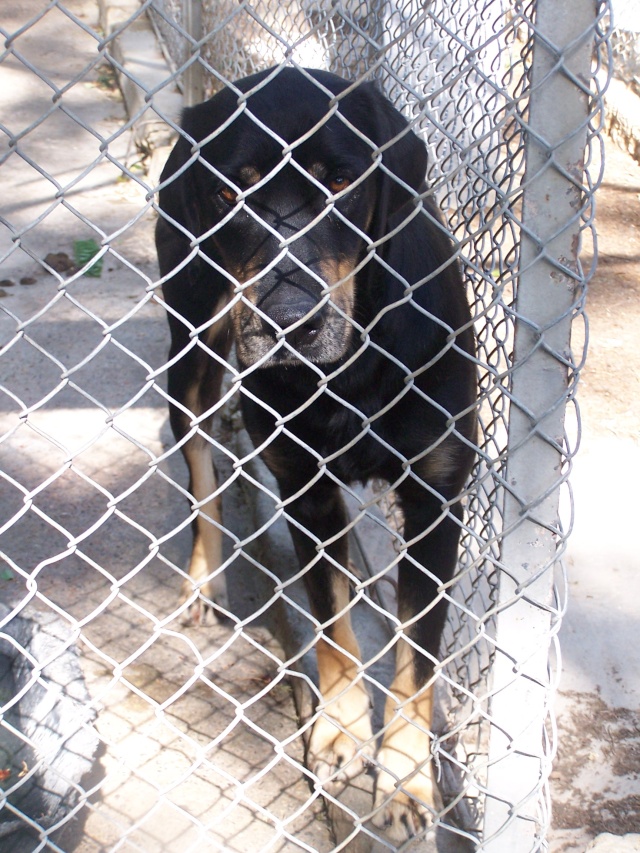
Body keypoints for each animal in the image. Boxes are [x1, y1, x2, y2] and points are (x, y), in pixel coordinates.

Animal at [155, 65, 476, 840]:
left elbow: (417, 660)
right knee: (201, 466)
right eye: (229, 193)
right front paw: (340, 734)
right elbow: (331, 624)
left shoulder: (437, 497)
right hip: (191, 348)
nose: (289, 321)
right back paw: (202, 580)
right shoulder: (305, 486)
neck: (353, 365)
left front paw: (406, 781)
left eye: (341, 182)